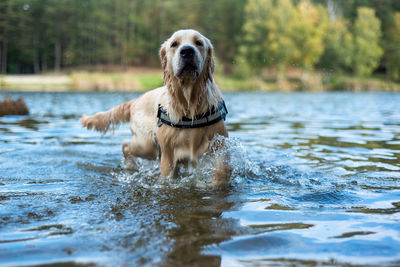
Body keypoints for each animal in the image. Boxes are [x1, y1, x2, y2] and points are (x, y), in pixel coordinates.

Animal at [80, 29, 231, 187]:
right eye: (174, 44)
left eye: (198, 42)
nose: (187, 51)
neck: (189, 105)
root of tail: (136, 100)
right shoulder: (168, 157)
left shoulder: (220, 144)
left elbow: (222, 170)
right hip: (147, 145)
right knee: (126, 146)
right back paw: (130, 165)